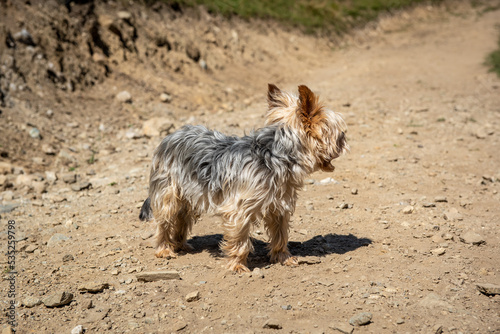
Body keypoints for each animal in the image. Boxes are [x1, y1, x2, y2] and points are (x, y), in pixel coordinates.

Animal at [139, 83, 350, 272]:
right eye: (339, 132)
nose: (345, 139)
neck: (275, 156)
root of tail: (170, 136)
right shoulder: (239, 209)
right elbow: (240, 240)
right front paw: (237, 266)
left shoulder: (279, 206)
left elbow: (280, 235)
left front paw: (283, 258)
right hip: (168, 191)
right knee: (164, 220)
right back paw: (164, 249)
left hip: (189, 194)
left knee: (182, 218)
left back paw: (181, 245)